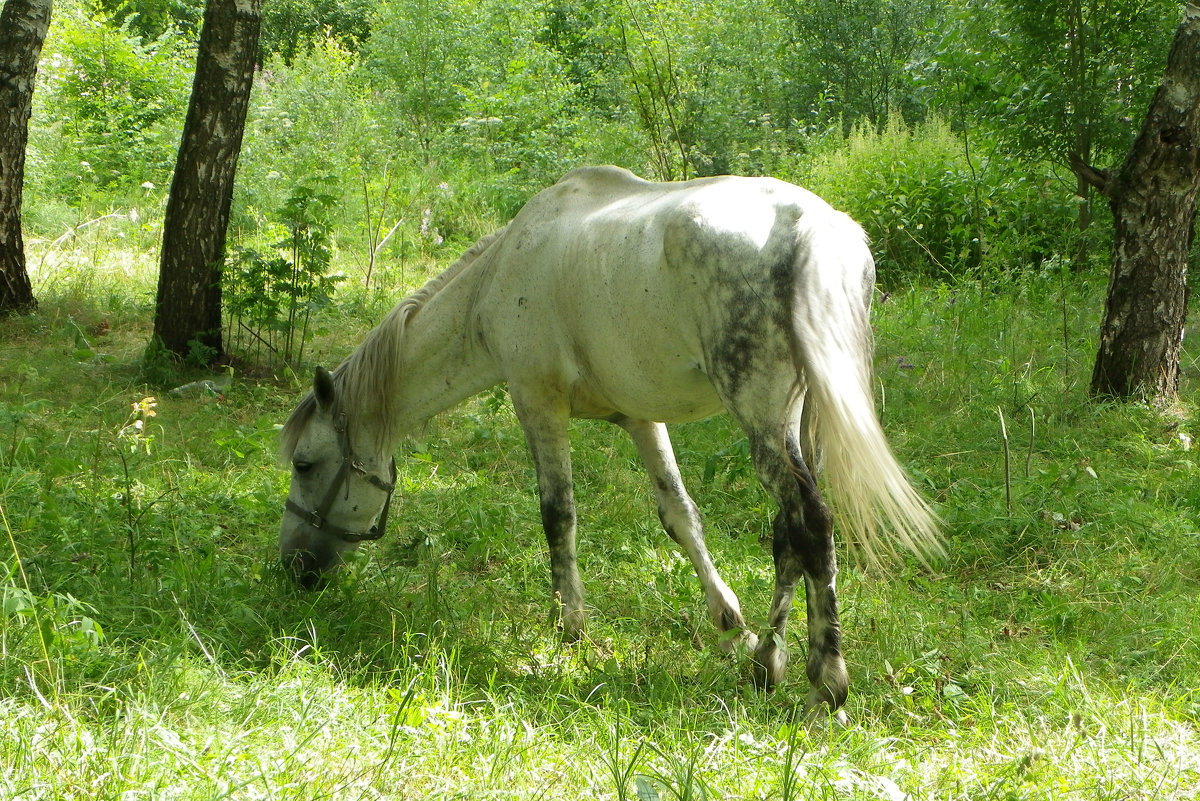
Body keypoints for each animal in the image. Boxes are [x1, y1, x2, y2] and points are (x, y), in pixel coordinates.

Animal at [278, 164, 936, 714]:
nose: (293, 568)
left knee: (810, 525)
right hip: (797, 425)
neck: (500, 275)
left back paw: (825, 677)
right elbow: (680, 516)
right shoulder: (640, 419)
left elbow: (558, 515)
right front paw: (729, 624)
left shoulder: (537, 403)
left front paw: (569, 626)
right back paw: (764, 661)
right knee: (787, 535)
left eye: (306, 464)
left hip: (765, 419)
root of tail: (815, 229)